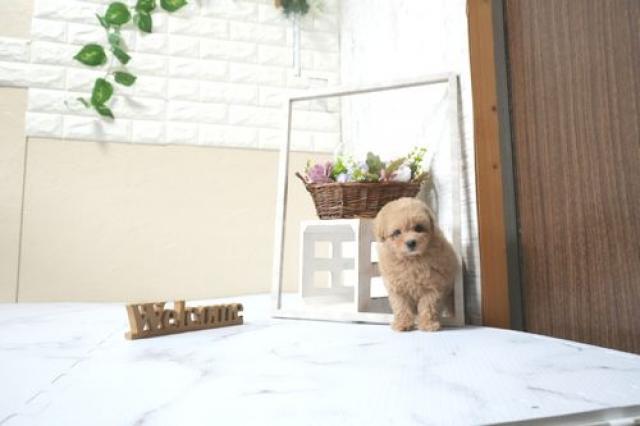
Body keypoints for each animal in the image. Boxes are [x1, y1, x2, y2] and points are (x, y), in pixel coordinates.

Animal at [374, 197, 458, 332]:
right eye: (397, 232)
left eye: (419, 228)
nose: (411, 242)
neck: (412, 259)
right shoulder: (398, 288)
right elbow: (401, 306)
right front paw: (402, 323)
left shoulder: (433, 286)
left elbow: (428, 305)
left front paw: (428, 324)